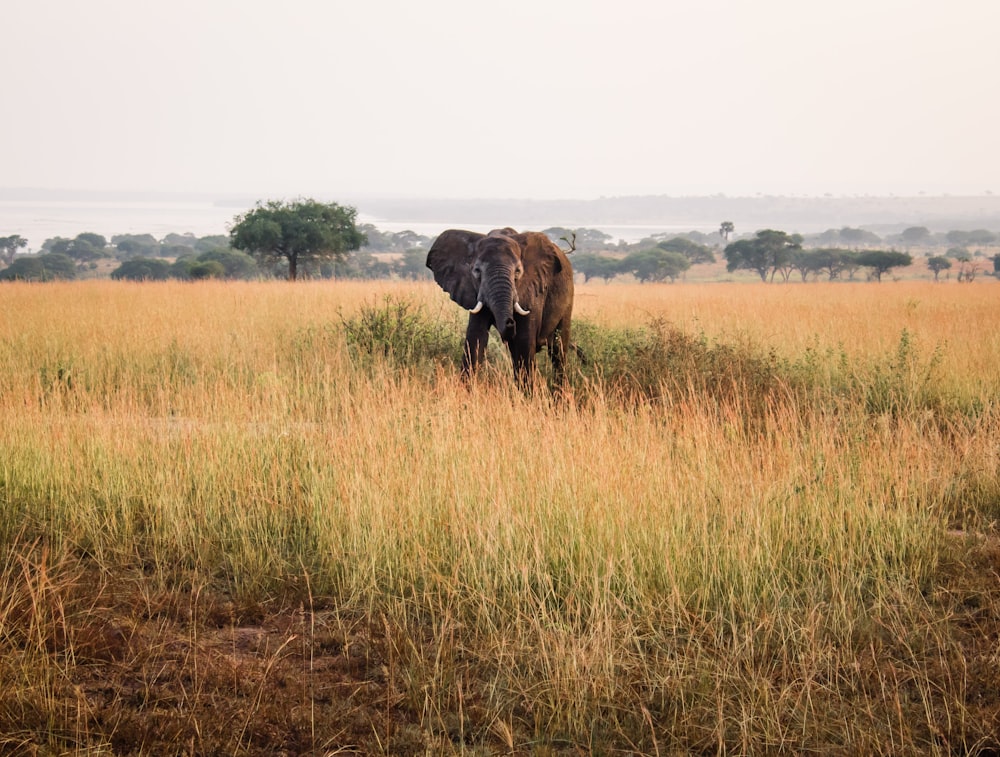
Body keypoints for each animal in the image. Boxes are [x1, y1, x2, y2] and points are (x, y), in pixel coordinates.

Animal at [426, 226, 576, 386]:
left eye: (518, 271)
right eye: (477, 271)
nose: (510, 322)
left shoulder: (533, 288)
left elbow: (524, 339)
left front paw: (528, 392)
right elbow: (476, 337)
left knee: (558, 350)